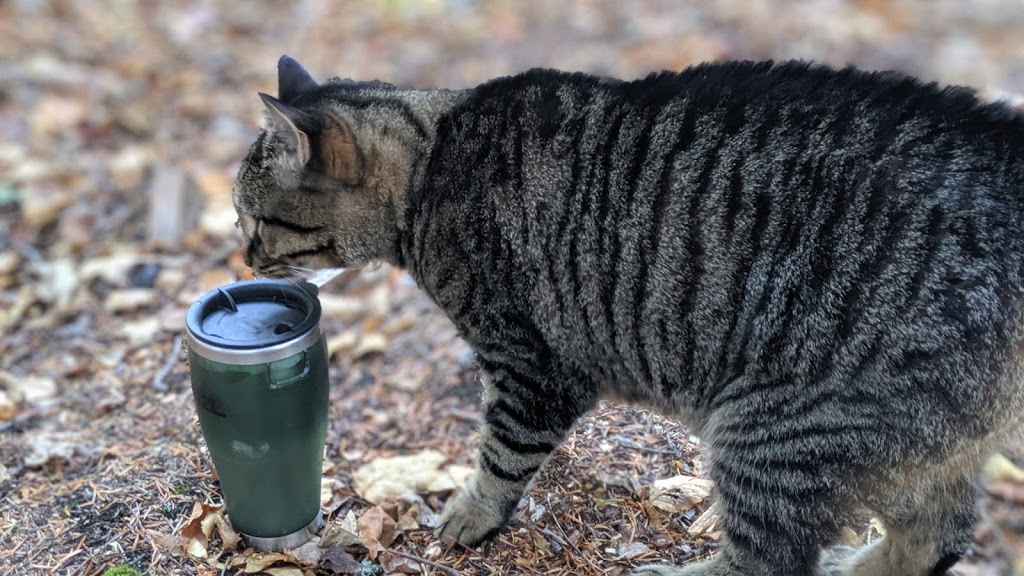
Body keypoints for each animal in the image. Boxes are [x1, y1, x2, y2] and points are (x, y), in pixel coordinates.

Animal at [232, 54, 1024, 573]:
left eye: (255, 219)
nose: (240, 257)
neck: (432, 160)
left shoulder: (529, 367)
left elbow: (501, 454)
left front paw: (470, 514)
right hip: (916, 447)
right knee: (934, 542)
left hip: (773, 433)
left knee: (767, 563)